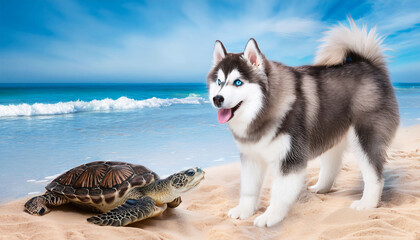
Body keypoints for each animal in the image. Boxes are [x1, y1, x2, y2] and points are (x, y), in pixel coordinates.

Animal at [207, 19, 400, 228]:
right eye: (219, 82)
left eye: (238, 82)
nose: (217, 99)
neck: (262, 113)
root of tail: (368, 63)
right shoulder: (251, 157)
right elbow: (249, 189)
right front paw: (244, 210)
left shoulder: (290, 159)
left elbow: (279, 193)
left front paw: (270, 216)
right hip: (330, 131)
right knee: (332, 164)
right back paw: (321, 188)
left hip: (364, 136)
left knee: (374, 174)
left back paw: (367, 203)